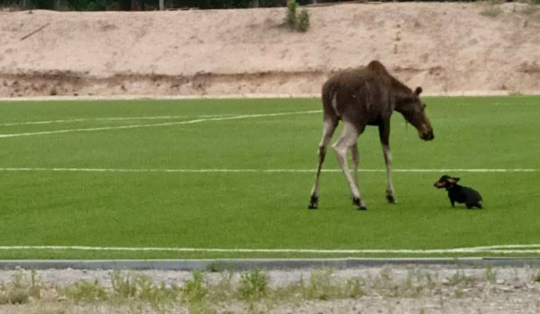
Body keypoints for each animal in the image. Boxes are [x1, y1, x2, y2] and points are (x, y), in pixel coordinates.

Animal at [308, 60, 434, 210]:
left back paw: (314, 198)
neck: (395, 96)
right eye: (423, 105)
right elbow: (388, 156)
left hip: (330, 117)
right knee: (338, 148)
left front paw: (353, 194)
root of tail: (332, 90)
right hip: (356, 121)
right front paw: (390, 194)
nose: (429, 133)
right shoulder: (384, 119)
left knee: (322, 148)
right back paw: (360, 200)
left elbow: (355, 157)